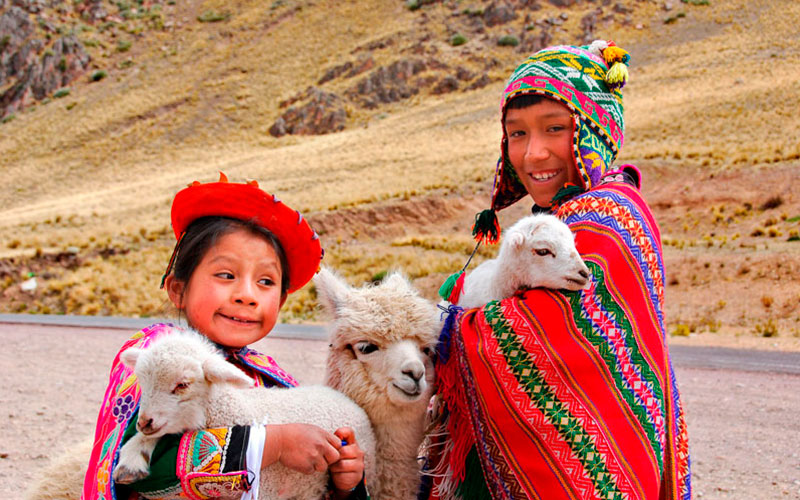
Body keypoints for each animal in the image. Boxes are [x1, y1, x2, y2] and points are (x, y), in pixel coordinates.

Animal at [112, 328, 378, 500]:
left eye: (182, 384)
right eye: (142, 381)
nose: (144, 422)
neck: (234, 409)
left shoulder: (267, 488)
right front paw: (131, 460)